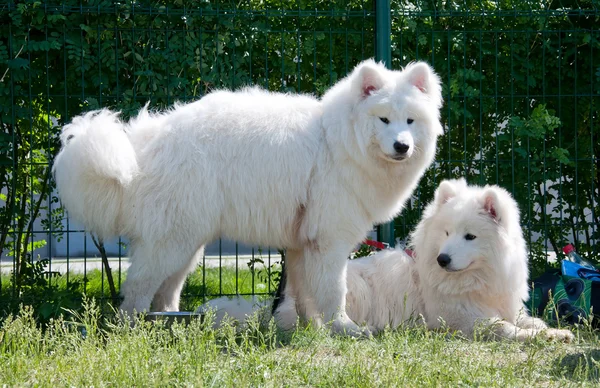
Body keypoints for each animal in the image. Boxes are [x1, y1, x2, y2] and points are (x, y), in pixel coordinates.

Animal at [52, 59, 446, 334]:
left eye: (410, 121)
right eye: (384, 120)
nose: (402, 146)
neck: (339, 143)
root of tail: (144, 147)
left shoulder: (301, 245)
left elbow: (304, 295)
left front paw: (312, 331)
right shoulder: (329, 241)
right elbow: (334, 291)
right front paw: (344, 328)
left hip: (185, 244)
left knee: (164, 292)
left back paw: (170, 326)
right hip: (173, 242)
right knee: (135, 291)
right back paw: (131, 331)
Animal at [209, 180, 576, 342]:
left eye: (469, 236)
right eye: (446, 233)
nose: (443, 259)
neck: (477, 279)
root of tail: (277, 304)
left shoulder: (504, 304)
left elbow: (528, 320)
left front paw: (552, 330)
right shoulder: (463, 319)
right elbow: (504, 328)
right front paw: (547, 336)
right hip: (351, 288)